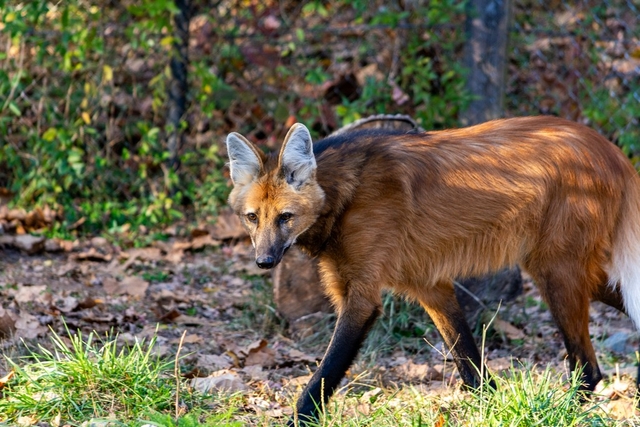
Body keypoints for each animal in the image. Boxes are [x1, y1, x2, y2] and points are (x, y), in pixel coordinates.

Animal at [224, 117, 640, 424]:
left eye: (285, 217)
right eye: (252, 218)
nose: (264, 261)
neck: (345, 195)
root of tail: (612, 150)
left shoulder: (362, 298)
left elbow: (323, 376)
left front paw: (299, 418)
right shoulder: (430, 285)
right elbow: (472, 370)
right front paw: (489, 409)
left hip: (554, 270)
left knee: (588, 366)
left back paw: (566, 409)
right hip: (566, 268)